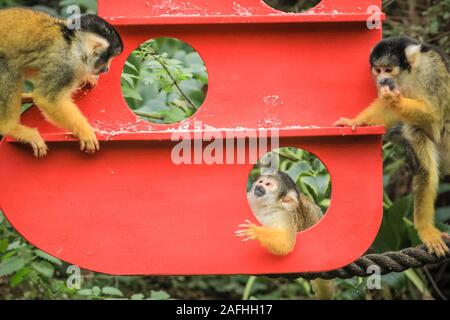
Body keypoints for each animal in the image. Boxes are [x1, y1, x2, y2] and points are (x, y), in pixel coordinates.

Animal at [0, 7, 123, 158]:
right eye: (108, 59)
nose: (107, 69)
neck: (72, 44)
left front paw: (86, 77)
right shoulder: (67, 63)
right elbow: (47, 99)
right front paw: (85, 132)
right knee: (10, 68)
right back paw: (9, 127)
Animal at [334, 36, 450, 258]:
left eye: (388, 69)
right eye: (378, 70)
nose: (381, 80)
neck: (410, 75)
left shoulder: (431, 72)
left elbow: (433, 113)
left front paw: (395, 98)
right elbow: (389, 109)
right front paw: (357, 121)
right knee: (424, 164)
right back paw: (427, 230)